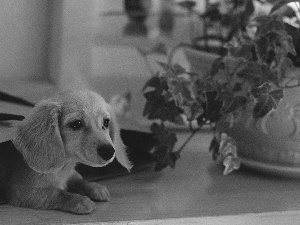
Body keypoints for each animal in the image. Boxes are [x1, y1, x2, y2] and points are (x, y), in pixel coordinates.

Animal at [0, 89, 132, 214]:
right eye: (76, 124)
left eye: (106, 122)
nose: (109, 152)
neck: (63, 168)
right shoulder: (26, 192)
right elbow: (57, 193)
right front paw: (79, 200)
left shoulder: (71, 175)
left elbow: (78, 180)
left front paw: (94, 187)